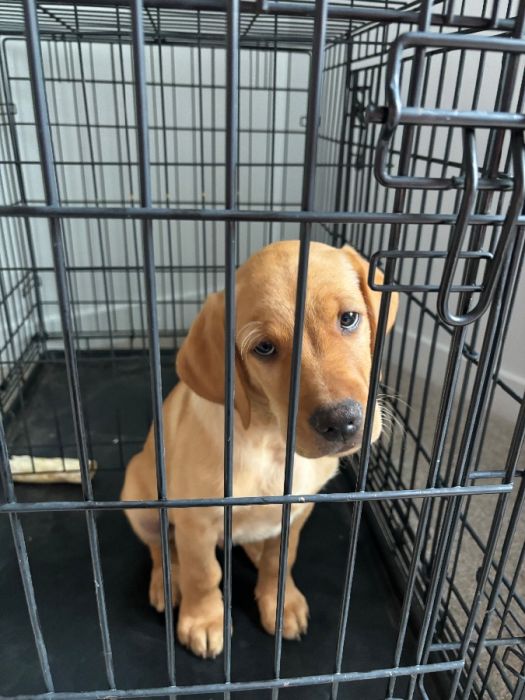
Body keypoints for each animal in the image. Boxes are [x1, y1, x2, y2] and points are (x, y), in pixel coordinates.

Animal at [119, 241, 398, 656]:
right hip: (141, 502)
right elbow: (204, 573)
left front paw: (281, 604)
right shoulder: (195, 520)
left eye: (349, 318)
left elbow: (280, 561)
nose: (342, 421)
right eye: (264, 348)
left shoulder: (296, 512)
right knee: (161, 548)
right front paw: (204, 620)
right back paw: (167, 583)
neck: (273, 442)